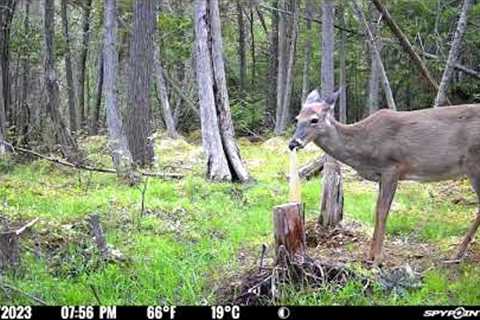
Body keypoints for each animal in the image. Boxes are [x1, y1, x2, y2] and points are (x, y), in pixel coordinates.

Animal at [290, 88, 480, 264]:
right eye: (297, 118)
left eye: (314, 119)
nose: (293, 143)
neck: (363, 147)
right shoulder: (381, 175)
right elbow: (376, 210)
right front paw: (369, 256)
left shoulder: (392, 168)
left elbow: (383, 211)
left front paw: (378, 259)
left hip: (474, 163)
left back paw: (457, 254)